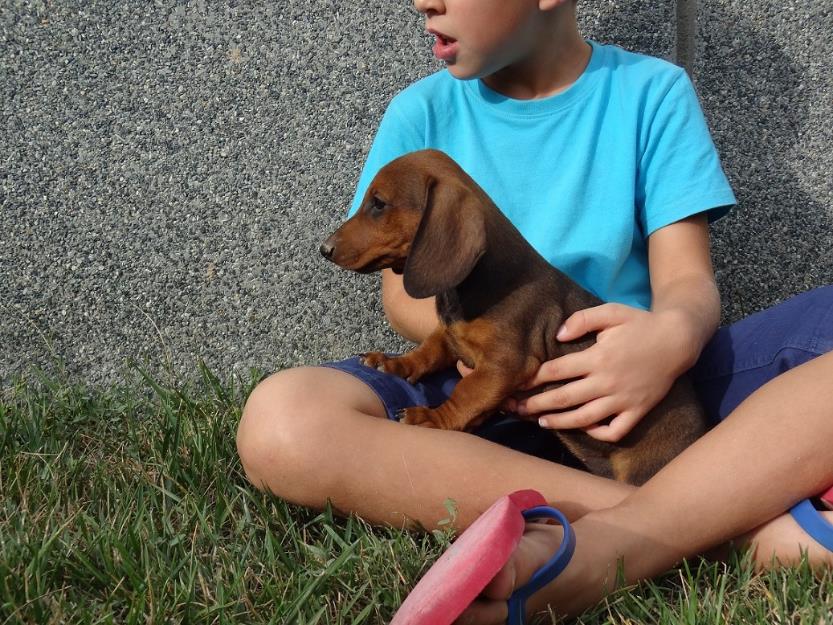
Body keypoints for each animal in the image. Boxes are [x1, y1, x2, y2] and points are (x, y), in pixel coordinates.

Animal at [320, 149, 708, 486]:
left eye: (378, 203)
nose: (324, 249)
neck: (475, 285)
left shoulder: (506, 363)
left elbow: (466, 392)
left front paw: (432, 418)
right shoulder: (451, 336)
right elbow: (429, 351)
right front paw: (394, 363)